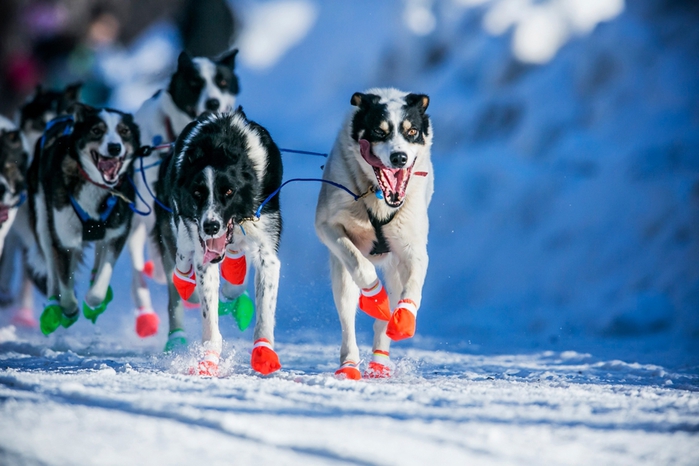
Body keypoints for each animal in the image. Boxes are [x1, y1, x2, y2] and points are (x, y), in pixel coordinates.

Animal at [26, 103, 144, 334]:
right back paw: (53, 304)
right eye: (97, 130)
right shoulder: (64, 240)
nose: (115, 147)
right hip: (43, 222)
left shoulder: (118, 234)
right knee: (52, 270)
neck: (96, 185)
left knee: (98, 255)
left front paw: (93, 300)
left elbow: (101, 282)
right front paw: (69, 309)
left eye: (124, 131)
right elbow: (65, 283)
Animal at [154, 111, 284, 376]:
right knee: (182, 258)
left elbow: (265, 309)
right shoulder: (201, 248)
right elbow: (209, 316)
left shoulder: (266, 250)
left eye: (229, 191)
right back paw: (185, 281)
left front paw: (263, 352)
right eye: (197, 193)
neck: (219, 147)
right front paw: (209, 359)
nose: (211, 226)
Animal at [316, 87, 434, 378]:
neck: (378, 196)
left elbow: (414, 287)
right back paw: (349, 364)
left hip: (395, 268)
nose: (399, 157)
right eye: (379, 132)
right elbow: (361, 266)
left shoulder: (414, 248)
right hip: (341, 277)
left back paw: (380, 361)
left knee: (387, 314)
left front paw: (404, 319)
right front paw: (375, 297)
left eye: (412, 131)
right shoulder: (328, 227)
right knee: (348, 316)